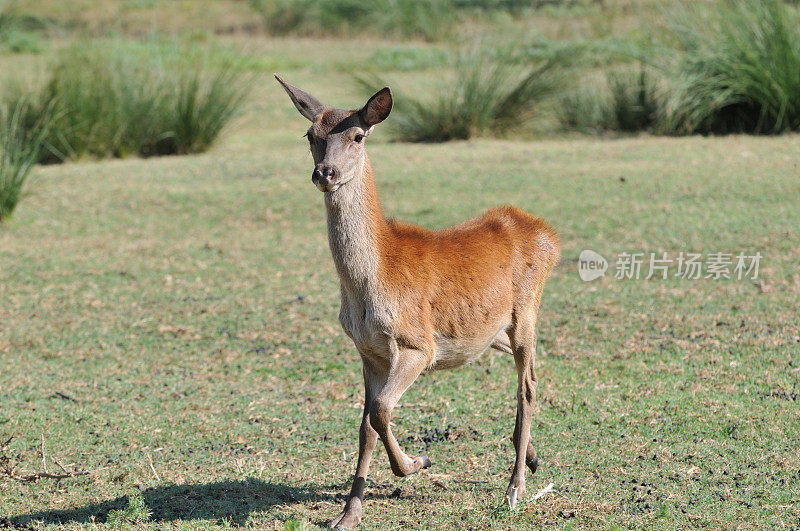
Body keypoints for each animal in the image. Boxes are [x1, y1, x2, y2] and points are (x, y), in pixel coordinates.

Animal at [276, 74, 564, 528]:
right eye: (310, 135)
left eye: (358, 135)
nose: (326, 172)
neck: (372, 282)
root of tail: (547, 233)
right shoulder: (368, 351)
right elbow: (366, 424)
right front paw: (348, 514)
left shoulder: (416, 344)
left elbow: (379, 410)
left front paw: (417, 463)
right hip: (491, 330)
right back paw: (532, 458)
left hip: (526, 311)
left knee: (528, 386)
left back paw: (515, 488)